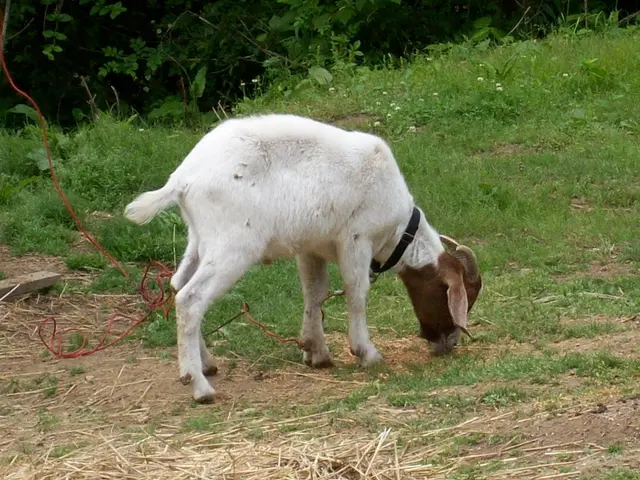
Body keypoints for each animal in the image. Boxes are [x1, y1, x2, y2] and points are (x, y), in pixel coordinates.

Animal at [124, 113, 482, 403]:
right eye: (453, 296)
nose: (448, 344)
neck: (397, 229)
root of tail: (182, 181)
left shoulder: (312, 247)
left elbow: (315, 292)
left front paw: (316, 352)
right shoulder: (356, 238)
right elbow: (357, 292)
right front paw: (366, 353)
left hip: (199, 239)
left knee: (177, 284)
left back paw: (208, 364)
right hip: (233, 244)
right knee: (190, 298)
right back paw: (198, 384)